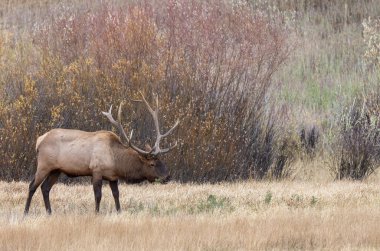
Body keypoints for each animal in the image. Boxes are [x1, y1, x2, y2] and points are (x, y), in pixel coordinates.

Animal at [24, 92, 180, 214]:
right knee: (32, 186)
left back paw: (49, 212)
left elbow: (116, 194)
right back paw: (26, 212)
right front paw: (96, 213)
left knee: (45, 188)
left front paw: (119, 211)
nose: (167, 176)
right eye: (152, 164)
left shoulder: (112, 177)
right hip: (44, 165)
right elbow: (98, 195)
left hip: (56, 170)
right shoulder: (96, 170)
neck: (116, 160)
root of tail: (39, 140)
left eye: (162, 161)